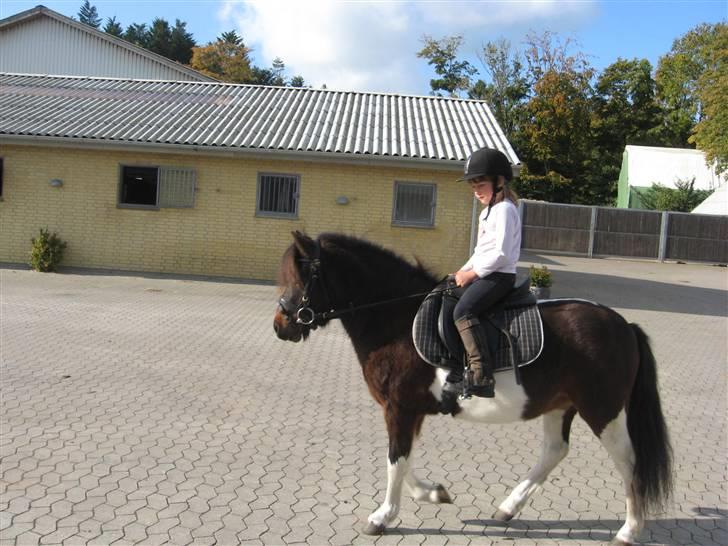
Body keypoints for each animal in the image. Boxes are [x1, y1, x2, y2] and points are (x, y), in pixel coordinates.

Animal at [272, 231, 672, 544]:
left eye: (300, 275)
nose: (280, 326)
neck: (397, 320)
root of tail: (624, 325)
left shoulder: (399, 408)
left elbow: (395, 459)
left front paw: (382, 516)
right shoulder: (411, 410)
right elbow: (405, 458)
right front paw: (434, 493)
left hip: (603, 409)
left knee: (628, 460)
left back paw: (628, 530)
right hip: (559, 405)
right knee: (554, 451)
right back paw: (507, 509)